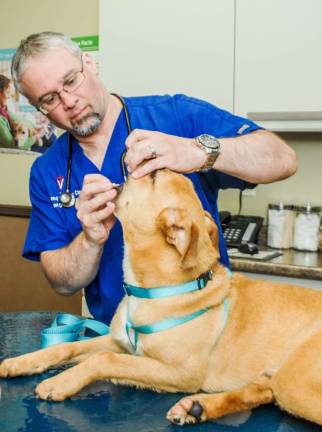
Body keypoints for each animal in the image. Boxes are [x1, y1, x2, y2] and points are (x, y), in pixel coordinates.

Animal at [0, 170, 322, 426]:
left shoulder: (177, 372)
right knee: (264, 390)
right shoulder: (119, 342)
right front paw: (21, 362)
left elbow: (103, 360)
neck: (153, 291)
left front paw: (59, 383)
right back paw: (197, 408)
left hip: (295, 383)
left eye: (154, 175)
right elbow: (65, 347)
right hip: (279, 379)